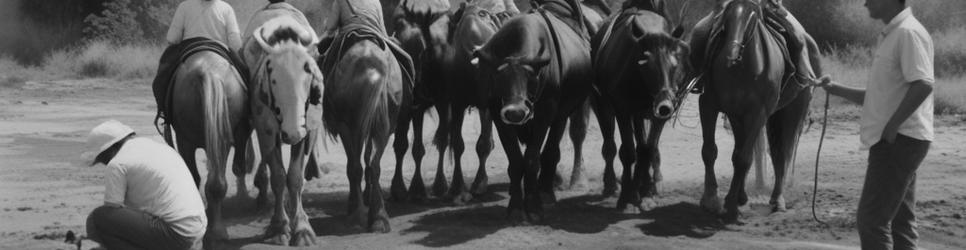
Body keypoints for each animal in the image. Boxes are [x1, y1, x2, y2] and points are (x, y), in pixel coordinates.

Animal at [588, 5, 688, 213]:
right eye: (646, 65)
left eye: (675, 64)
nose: (665, 104)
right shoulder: (623, 110)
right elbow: (628, 152)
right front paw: (627, 198)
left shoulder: (656, 116)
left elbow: (648, 149)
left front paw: (646, 194)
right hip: (601, 105)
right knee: (610, 145)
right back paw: (612, 184)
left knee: (643, 147)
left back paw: (642, 186)